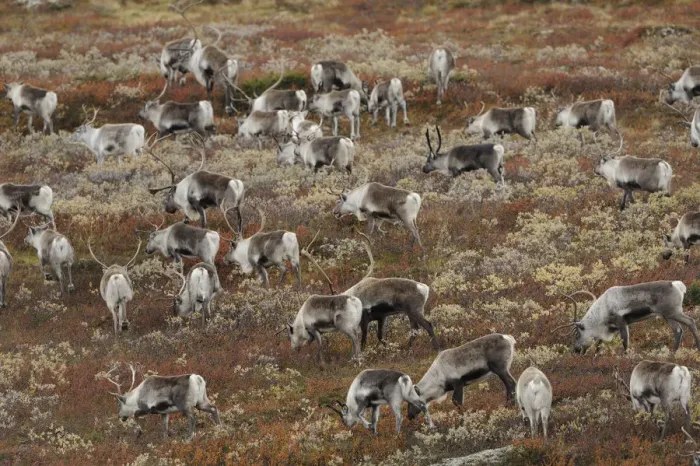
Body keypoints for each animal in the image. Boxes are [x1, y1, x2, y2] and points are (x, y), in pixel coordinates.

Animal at [552, 283, 700, 355]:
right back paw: (672, 354)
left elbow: (625, 342)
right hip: (667, 316)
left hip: (674, 312)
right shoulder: (611, 328)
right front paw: (595, 356)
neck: (602, 311)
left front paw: (625, 357)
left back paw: (697, 347)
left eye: (578, 333)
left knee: (691, 322)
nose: (575, 350)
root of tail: (679, 286)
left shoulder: (621, 322)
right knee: (678, 330)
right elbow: (599, 343)